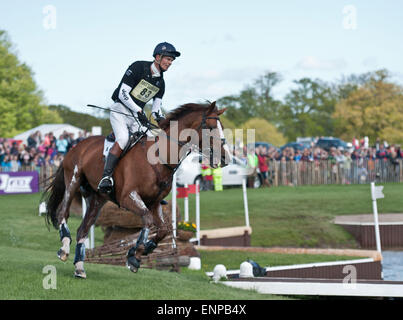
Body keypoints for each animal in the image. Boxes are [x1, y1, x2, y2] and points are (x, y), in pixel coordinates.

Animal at [41, 101, 230, 278]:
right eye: (211, 128)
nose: (225, 157)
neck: (158, 159)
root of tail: (77, 146)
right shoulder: (128, 197)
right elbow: (147, 220)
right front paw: (134, 256)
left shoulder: (154, 203)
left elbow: (163, 230)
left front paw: (140, 251)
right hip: (73, 181)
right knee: (62, 213)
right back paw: (64, 248)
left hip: (97, 199)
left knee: (83, 229)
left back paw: (79, 268)